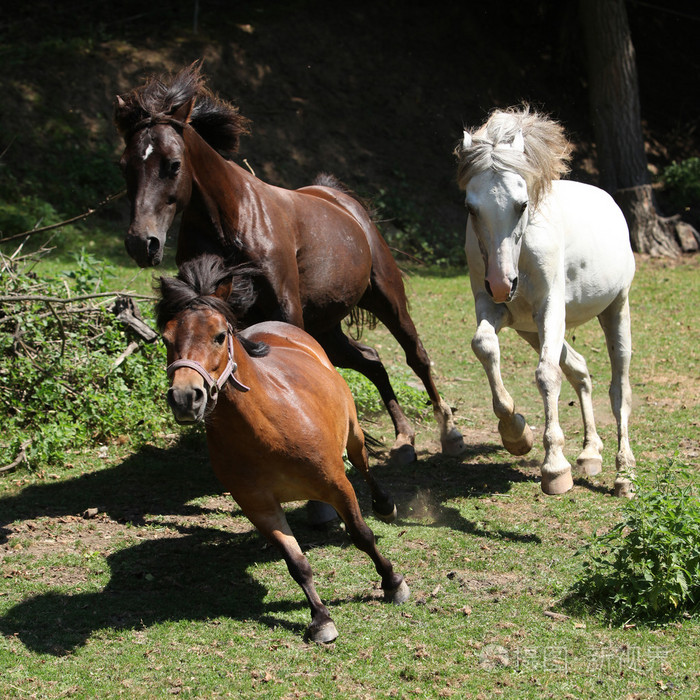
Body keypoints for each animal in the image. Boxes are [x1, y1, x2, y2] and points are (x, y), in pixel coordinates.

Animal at [114, 62, 466, 467]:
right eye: (125, 166)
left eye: (173, 165)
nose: (141, 242)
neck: (230, 219)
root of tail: (338, 197)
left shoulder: (285, 309)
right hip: (327, 328)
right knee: (372, 360)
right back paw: (403, 438)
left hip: (387, 300)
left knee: (417, 358)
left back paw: (449, 433)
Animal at [155, 254, 410, 643]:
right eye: (167, 338)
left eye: (219, 336)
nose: (186, 397)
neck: (267, 431)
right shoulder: (259, 506)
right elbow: (297, 563)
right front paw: (320, 619)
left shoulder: (337, 484)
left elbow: (361, 535)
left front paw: (392, 582)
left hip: (352, 434)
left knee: (364, 465)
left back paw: (384, 505)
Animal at [455, 106, 636, 497]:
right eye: (471, 208)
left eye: (522, 204)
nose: (502, 283)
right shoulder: (493, 307)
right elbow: (484, 345)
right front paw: (516, 433)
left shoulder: (550, 308)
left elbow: (546, 375)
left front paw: (554, 467)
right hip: (531, 329)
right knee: (580, 369)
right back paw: (589, 453)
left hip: (615, 308)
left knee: (620, 391)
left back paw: (624, 474)